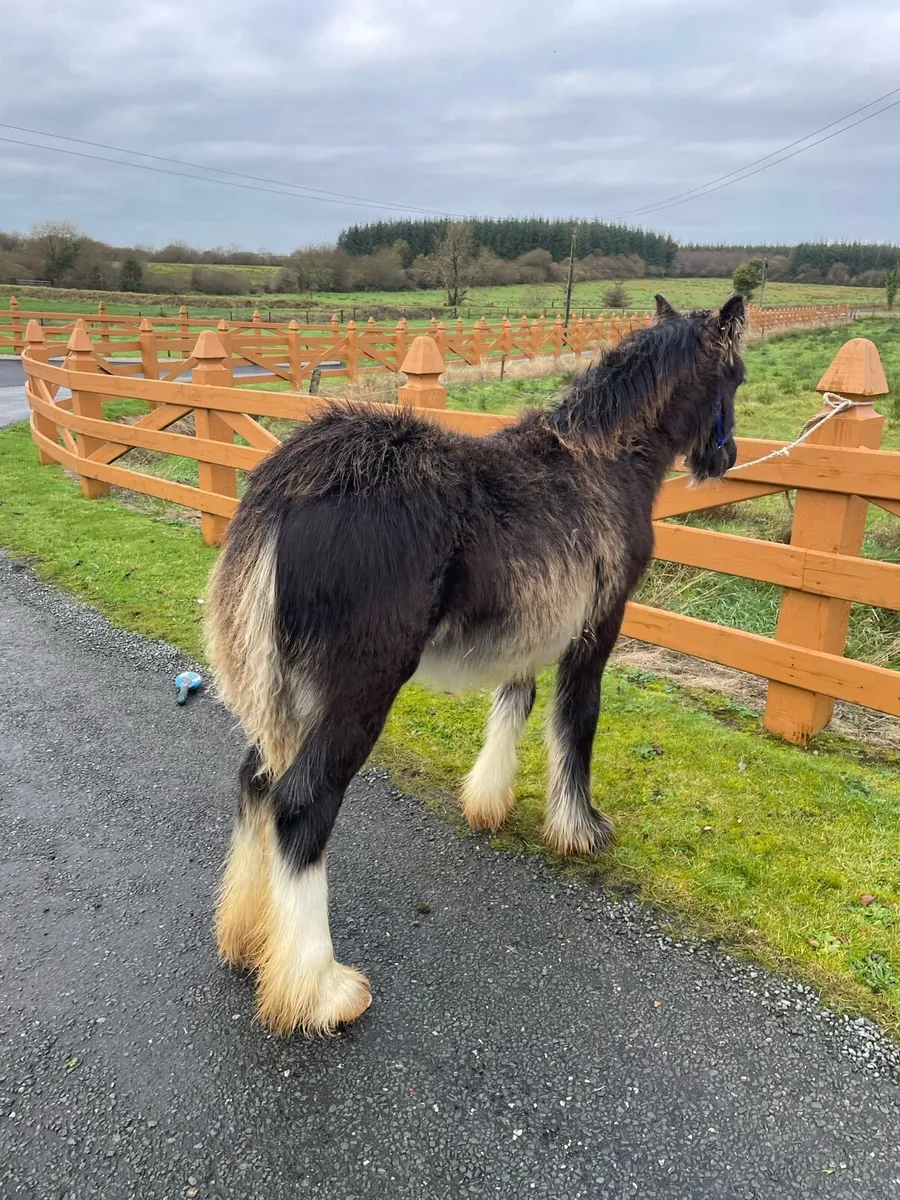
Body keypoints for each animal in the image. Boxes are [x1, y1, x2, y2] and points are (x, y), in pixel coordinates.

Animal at [204, 293, 746, 1036]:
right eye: (736, 376)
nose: (727, 455)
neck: (605, 462)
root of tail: (290, 484)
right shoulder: (596, 631)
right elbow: (577, 723)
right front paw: (580, 828)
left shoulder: (528, 629)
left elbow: (514, 703)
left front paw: (488, 800)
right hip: (358, 695)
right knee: (300, 805)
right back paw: (319, 990)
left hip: (291, 694)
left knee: (257, 785)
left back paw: (248, 937)